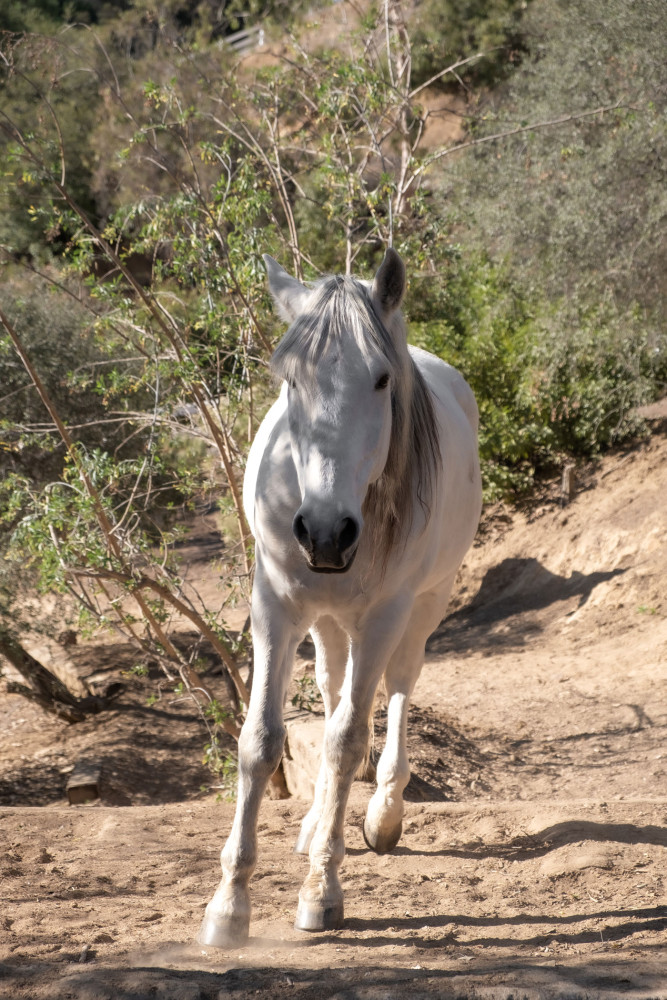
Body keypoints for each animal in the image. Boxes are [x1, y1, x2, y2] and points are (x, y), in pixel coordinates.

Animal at [198, 250, 480, 944]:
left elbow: (349, 738)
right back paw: (315, 825)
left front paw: (322, 891)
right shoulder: (273, 606)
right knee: (330, 690)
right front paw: (229, 903)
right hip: (326, 620)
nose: (325, 532)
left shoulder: (383, 617)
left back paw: (380, 815)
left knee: (396, 689)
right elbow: (261, 741)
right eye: (291, 381)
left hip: (421, 608)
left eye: (381, 379)